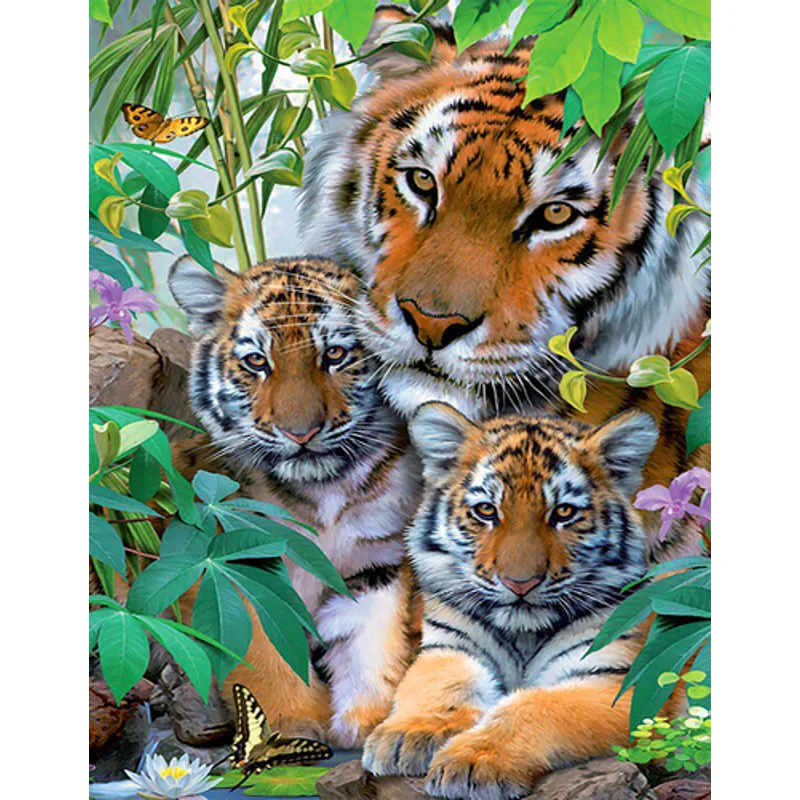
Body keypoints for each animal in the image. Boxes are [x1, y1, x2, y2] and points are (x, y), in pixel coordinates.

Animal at [168, 255, 423, 747]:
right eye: (257, 361)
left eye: (336, 355)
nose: (301, 433)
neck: (323, 490)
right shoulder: (238, 566)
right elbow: (263, 650)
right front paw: (292, 726)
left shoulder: (376, 562)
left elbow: (370, 640)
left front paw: (366, 720)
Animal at [363, 401, 684, 798]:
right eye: (486, 511)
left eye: (563, 513)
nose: (520, 583)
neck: (523, 633)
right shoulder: (449, 647)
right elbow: (442, 684)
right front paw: (408, 735)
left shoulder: (615, 682)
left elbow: (534, 705)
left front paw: (473, 761)